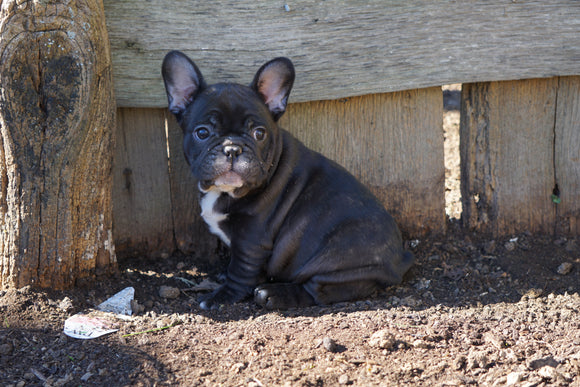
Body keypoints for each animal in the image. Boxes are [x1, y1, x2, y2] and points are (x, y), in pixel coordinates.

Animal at [161, 52, 414, 312]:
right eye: (202, 133)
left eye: (259, 133)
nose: (232, 149)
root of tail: (400, 259)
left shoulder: (251, 241)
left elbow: (240, 272)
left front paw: (221, 296)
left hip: (337, 259)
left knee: (317, 291)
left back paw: (273, 294)